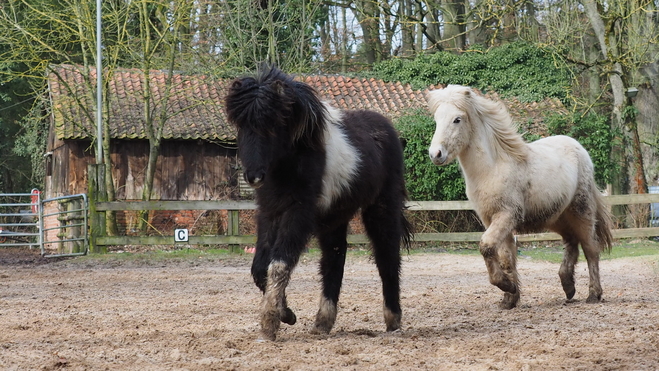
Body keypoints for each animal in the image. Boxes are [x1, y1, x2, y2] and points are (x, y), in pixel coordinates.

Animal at [227, 65, 412, 342]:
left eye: (273, 124)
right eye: (241, 124)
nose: (254, 176)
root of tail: (388, 131)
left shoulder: (299, 212)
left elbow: (279, 264)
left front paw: (270, 322)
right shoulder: (270, 212)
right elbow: (261, 268)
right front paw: (286, 313)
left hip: (381, 208)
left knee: (386, 256)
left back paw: (392, 320)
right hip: (334, 218)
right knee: (334, 258)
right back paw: (323, 322)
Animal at [428, 85, 612, 310]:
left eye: (457, 119)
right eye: (436, 119)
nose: (435, 154)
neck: (492, 168)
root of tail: (579, 148)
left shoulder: (506, 216)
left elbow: (486, 246)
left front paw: (506, 286)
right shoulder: (492, 220)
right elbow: (506, 258)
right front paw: (510, 298)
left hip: (581, 211)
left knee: (590, 248)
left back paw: (593, 294)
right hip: (557, 216)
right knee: (571, 243)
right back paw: (568, 286)